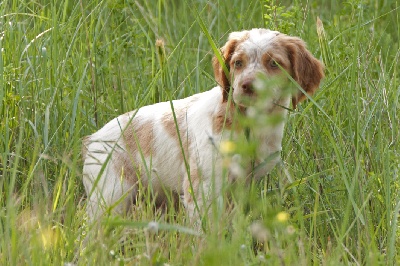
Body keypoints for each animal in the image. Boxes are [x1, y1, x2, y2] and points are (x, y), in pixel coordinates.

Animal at [82, 28, 324, 223]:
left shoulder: (246, 184)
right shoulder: (204, 188)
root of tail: (93, 139)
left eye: (274, 63)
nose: (247, 86)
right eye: (238, 63)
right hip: (111, 196)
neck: (249, 122)